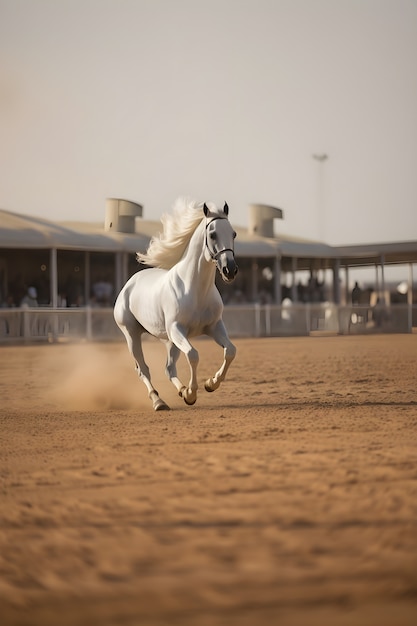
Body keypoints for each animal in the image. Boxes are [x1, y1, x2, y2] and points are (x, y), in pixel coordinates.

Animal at [113, 196, 237, 410]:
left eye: (233, 234)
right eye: (212, 234)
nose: (230, 270)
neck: (195, 290)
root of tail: (129, 284)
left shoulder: (214, 327)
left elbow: (230, 351)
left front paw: (209, 384)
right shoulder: (177, 329)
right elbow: (194, 355)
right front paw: (193, 392)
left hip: (169, 341)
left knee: (169, 368)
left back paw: (181, 392)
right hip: (132, 334)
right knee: (143, 369)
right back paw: (158, 401)